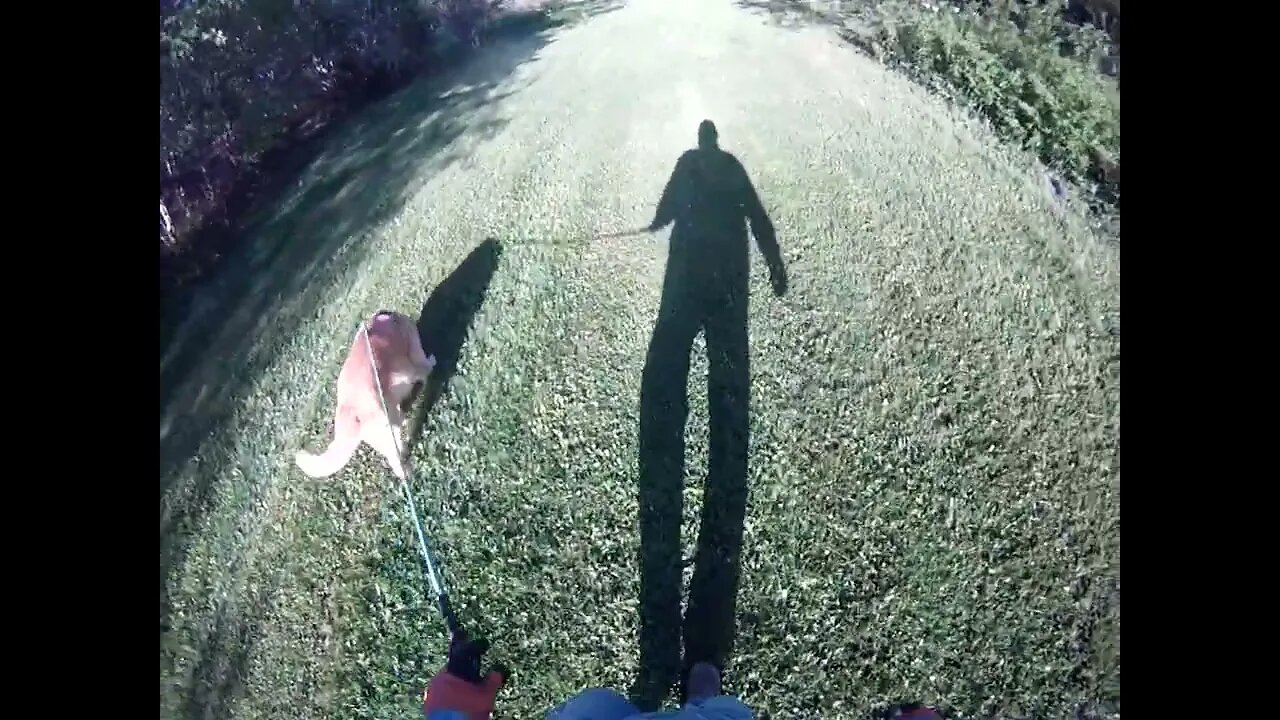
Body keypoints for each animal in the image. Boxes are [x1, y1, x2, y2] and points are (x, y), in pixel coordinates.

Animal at [296, 308, 437, 476]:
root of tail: (352, 412)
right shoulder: (414, 351)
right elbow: (423, 366)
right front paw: (431, 365)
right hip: (389, 432)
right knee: (396, 458)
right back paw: (407, 473)